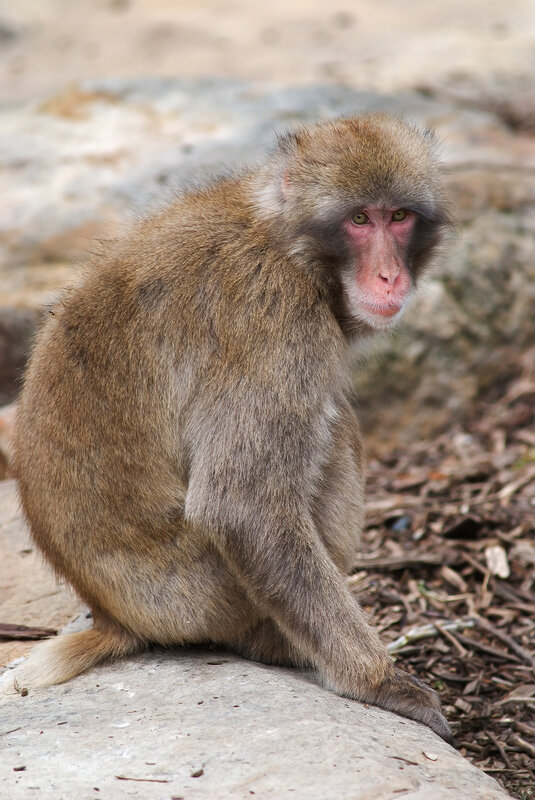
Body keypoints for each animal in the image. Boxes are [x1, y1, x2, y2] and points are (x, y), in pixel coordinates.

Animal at [3, 114, 453, 743]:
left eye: (400, 216)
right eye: (360, 220)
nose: (389, 276)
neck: (286, 242)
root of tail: (113, 615)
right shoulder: (278, 318)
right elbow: (240, 506)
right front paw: (380, 682)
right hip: (198, 596)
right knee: (335, 431)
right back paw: (274, 646)